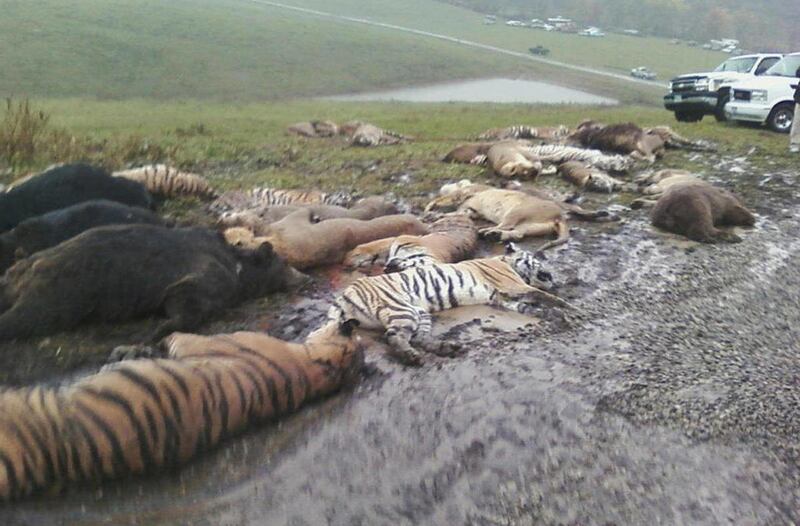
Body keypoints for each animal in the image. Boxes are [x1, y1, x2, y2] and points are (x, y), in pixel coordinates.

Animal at [327, 243, 563, 366]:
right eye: (536, 258)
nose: (552, 275)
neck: (506, 262)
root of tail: (343, 295)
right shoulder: (512, 285)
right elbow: (545, 296)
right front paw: (567, 309)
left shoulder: (503, 297)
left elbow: (530, 306)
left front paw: (552, 315)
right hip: (402, 309)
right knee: (394, 337)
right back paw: (411, 356)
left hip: (419, 313)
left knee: (419, 338)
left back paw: (447, 348)